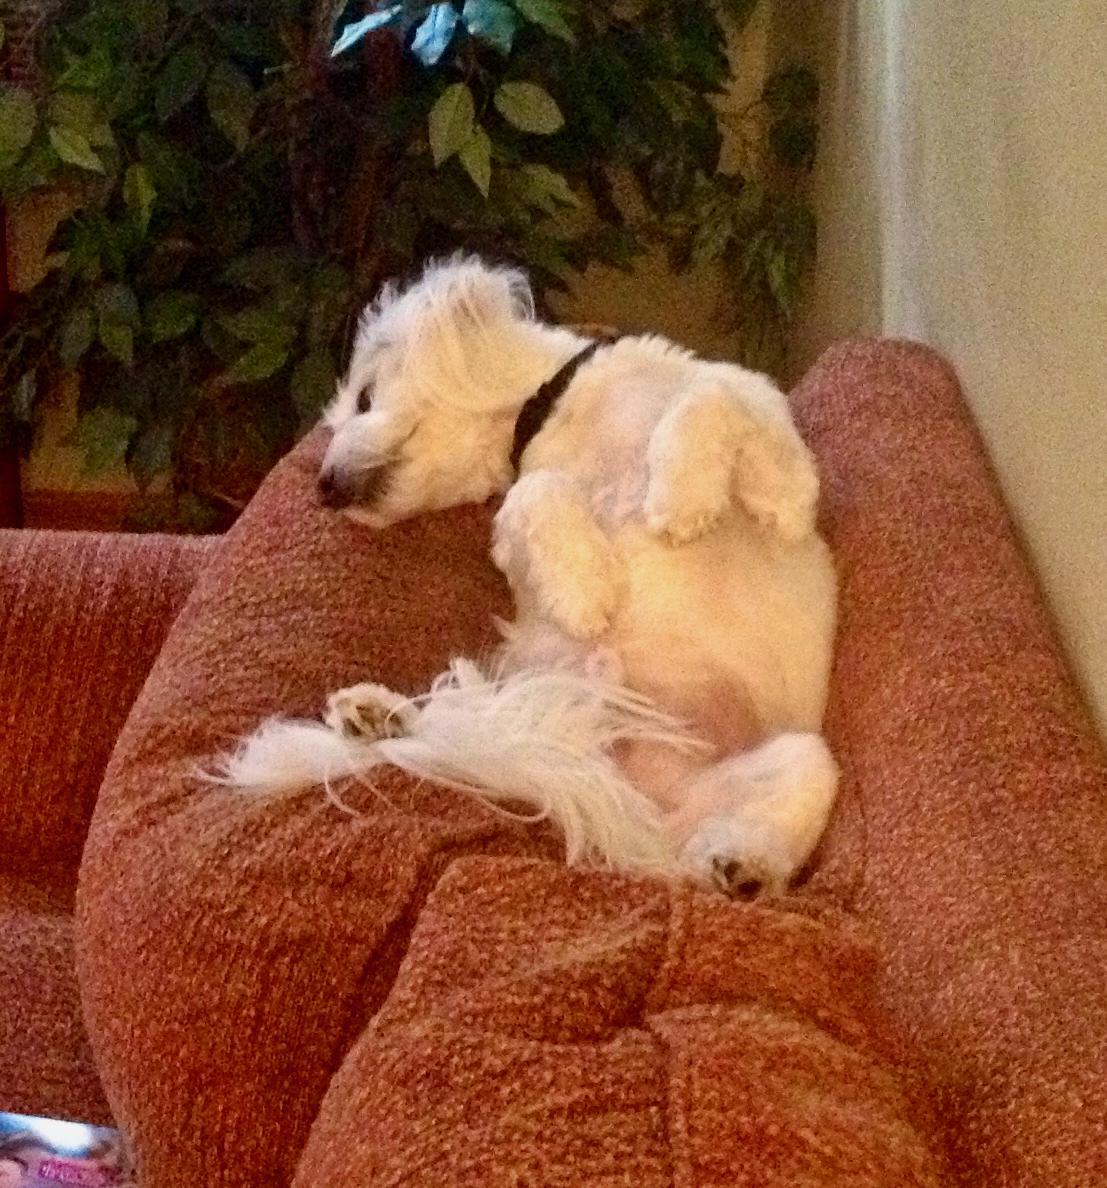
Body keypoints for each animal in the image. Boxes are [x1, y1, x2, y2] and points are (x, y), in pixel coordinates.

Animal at [229, 255, 840, 893]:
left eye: (366, 397)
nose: (322, 488)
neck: (554, 413)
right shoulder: (513, 531)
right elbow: (535, 490)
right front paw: (587, 591)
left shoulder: (749, 393)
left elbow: (711, 399)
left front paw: (692, 499)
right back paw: (377, 716)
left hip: (804, 757)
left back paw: (744, 864)